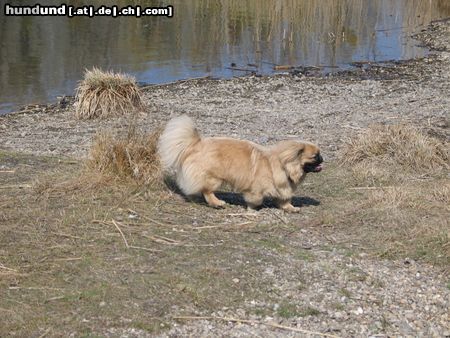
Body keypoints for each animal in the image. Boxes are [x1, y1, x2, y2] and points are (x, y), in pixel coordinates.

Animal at [156, 115, 322, 213]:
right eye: (315, 156)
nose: (323, 159)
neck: (283, 165)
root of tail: (196, 144)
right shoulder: (256, 188)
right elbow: (256, 198)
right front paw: (253, 208)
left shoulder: (282, 187)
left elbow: (284, 199)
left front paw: (290, 208)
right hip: (214, 178)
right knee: (207, 191)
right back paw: (217, 203)